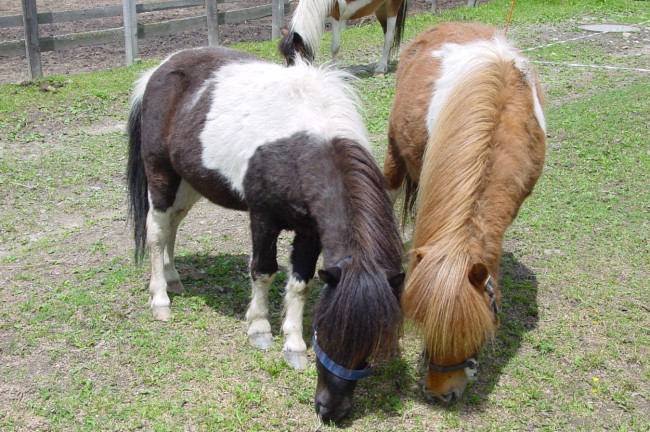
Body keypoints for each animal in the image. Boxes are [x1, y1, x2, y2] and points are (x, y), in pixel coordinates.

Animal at [126, 46, 404, 423]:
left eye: (369, 347)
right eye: (327, 330)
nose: (330, 411)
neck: (302, 145)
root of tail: (157, 70)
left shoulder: (310, 232)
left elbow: (300, 284)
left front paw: (294, 345)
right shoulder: (263, 219)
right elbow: (263, 271)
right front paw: (259, 328)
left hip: (189, 182)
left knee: (172, 225)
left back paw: (173, 280)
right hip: (161, 175)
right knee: (156, 233)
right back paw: (160, 300)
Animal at [279, 0, 407, 75]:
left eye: (299, 54)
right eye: (286, 57)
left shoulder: (336, 19)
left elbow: (335, 48)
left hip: (392, 6)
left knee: (389, 37)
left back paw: (380, 69)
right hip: (380, 8)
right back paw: (385, 62)